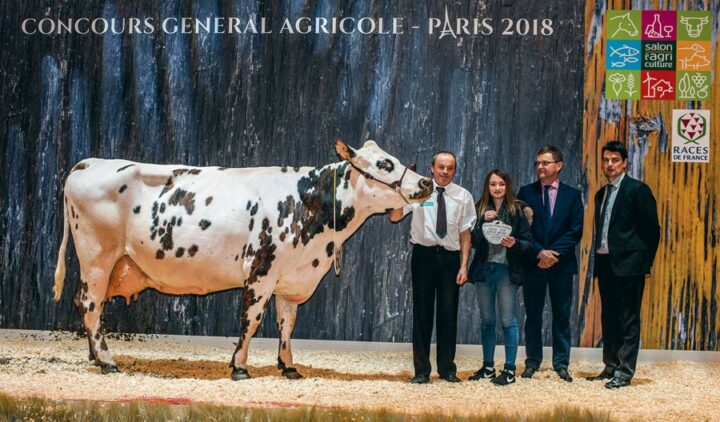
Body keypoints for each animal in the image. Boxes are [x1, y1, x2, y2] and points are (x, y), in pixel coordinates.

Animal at [53, 141, 434, 380]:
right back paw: (107, 360)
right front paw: (239, 367)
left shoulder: (289, 277)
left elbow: (286, 325)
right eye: (385, 163)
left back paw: (95, 355)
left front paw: (288, 367)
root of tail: (89, 162)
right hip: (97, 257)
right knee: (90, 304)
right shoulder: (261, 271)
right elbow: (250, 321)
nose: (427, 182)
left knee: (86, 304)